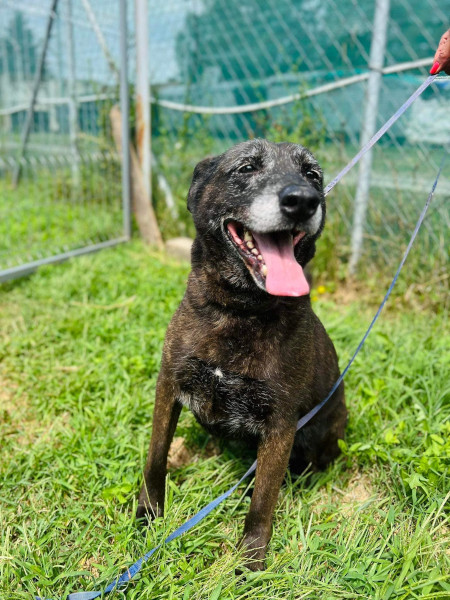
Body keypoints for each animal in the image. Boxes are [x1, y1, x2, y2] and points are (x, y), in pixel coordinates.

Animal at [136, 139, 347, 571]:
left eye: (312, 175)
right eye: (247, 167)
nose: (303, 200)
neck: (241, 311)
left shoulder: (281, 424)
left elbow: (263, 502)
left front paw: (250, 563)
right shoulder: (169, 386)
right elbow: (156, 457)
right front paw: (148, 514)